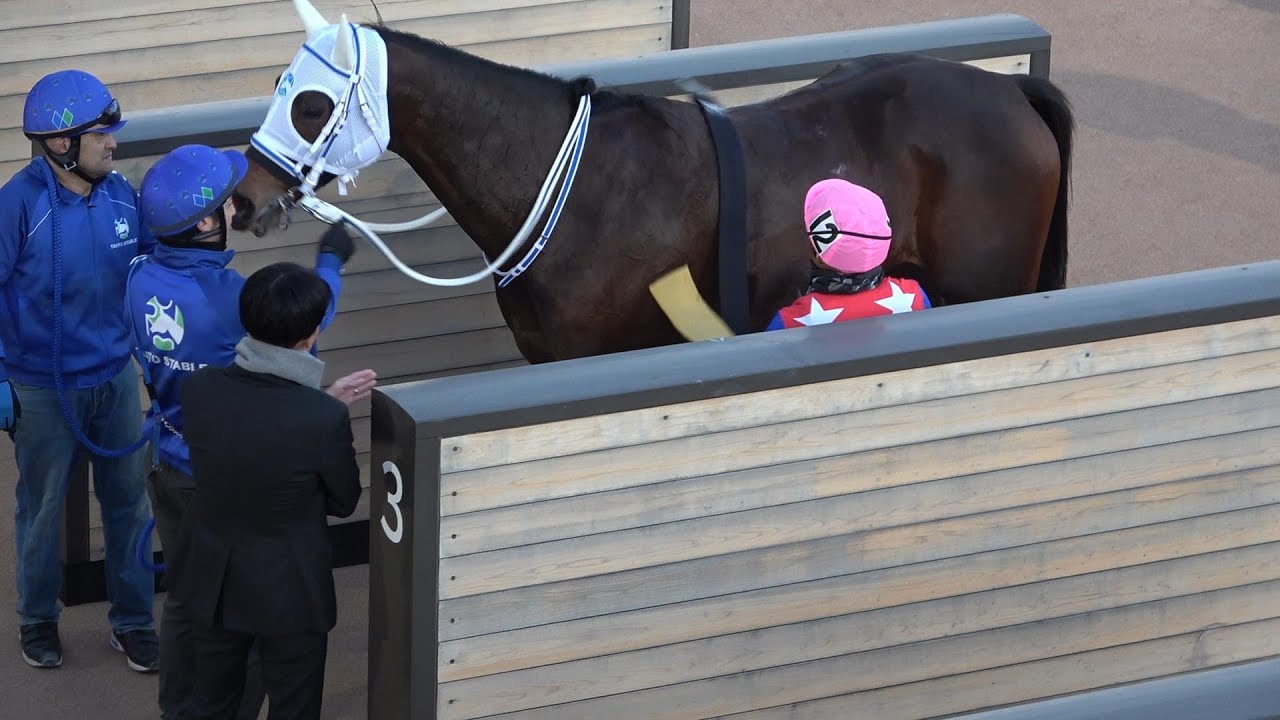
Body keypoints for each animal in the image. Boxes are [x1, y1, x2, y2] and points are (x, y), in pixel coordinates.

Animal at [230, 1, 1075, 364]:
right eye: (278, 84)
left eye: (311, 103)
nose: (242, 199)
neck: (572, 189)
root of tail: (1010, 90)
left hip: (988, 283)